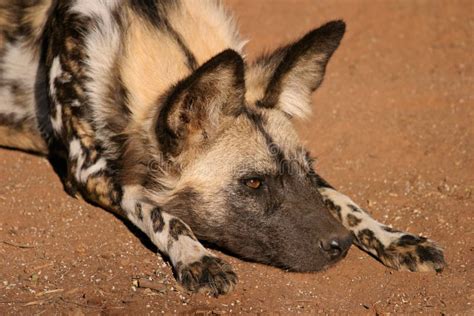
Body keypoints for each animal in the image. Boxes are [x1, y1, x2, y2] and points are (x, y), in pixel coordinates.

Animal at [0, 0, 444, 296]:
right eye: (253, 184)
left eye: (305, 170)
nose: (342, 245)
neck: (148, 21)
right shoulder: (90, 172)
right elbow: (160, 212)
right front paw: (197, 258)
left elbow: (341, 198)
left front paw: (393, 238)